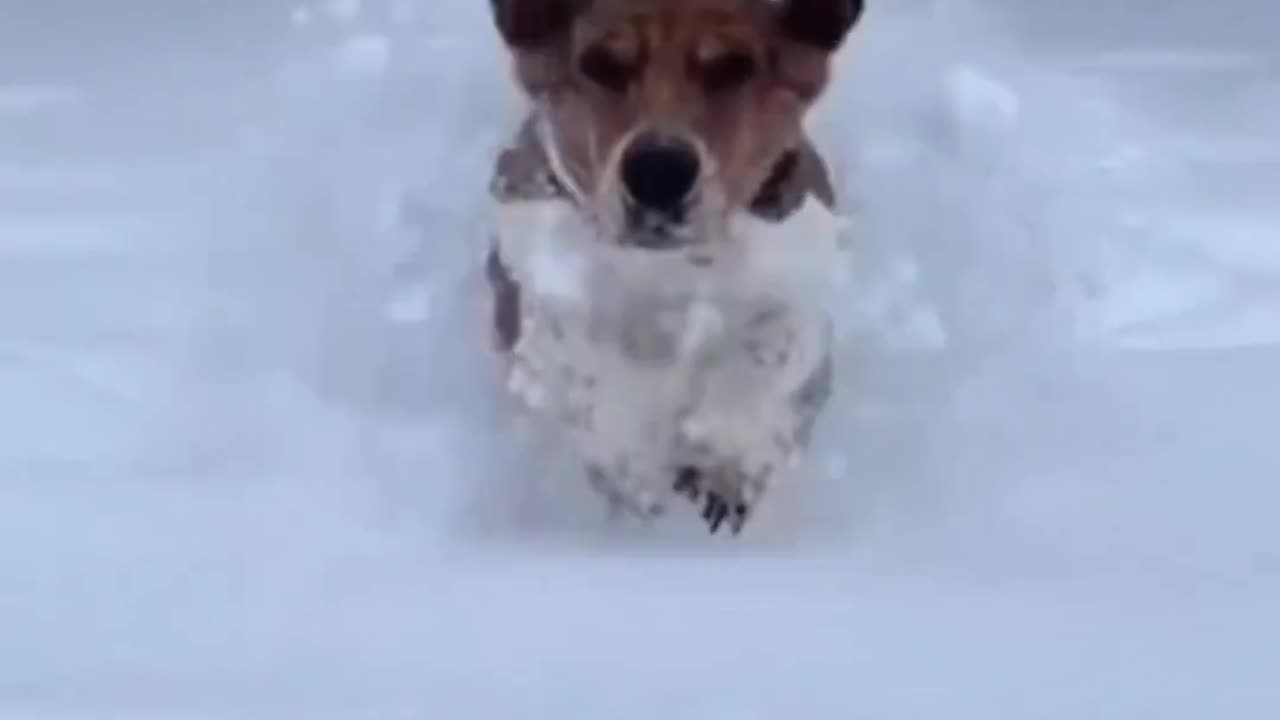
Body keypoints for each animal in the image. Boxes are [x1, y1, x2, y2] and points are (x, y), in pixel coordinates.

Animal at [483, 0, 865, 530]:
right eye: (601, 65)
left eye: (733, 68)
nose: (658, 172)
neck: (671, 271)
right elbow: (583, 370)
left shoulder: (797, 274)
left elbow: (769, 348)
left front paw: (730, 451)